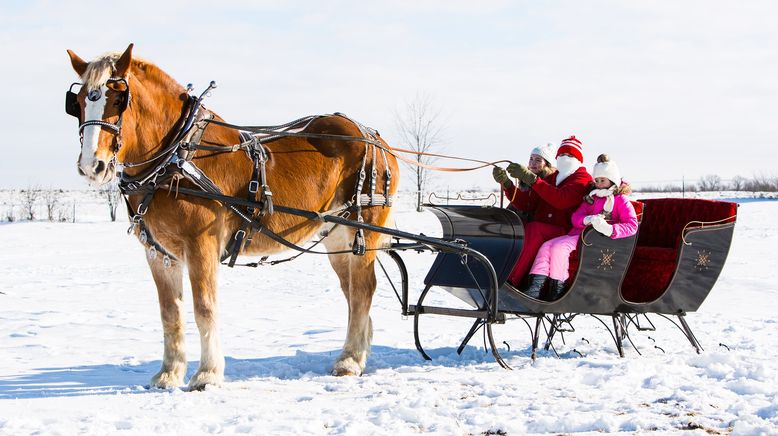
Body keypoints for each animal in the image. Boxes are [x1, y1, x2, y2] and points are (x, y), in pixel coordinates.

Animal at [63, 44, 398, 390]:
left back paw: (350, 361)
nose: (92, 165)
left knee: (363, 290)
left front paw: (207, 374)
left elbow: (204, 308)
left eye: (119, 99)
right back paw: (357, 351)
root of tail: (374, 136)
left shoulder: (201, 244)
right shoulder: (159, 253)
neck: (176, 158)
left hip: (364, 229)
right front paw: (168, 374)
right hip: (338, 237)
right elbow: (170, 313)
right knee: (353, 292)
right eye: (78, 102)